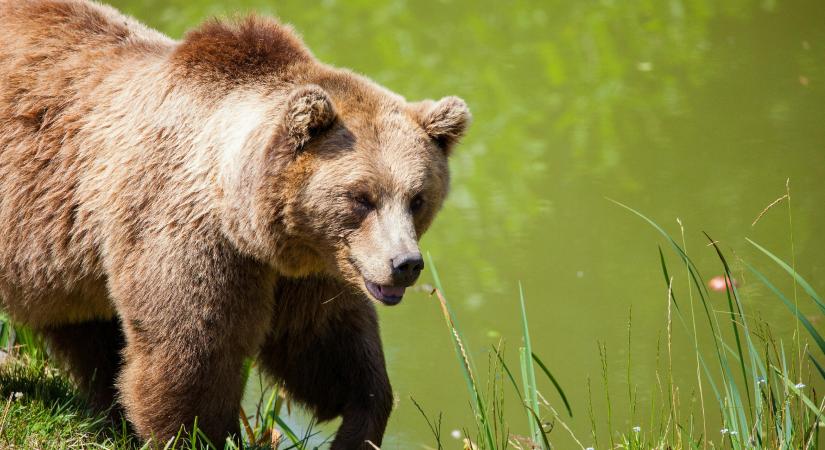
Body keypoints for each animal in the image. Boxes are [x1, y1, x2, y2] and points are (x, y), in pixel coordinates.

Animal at [0, 1, 466, 448]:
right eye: (361, 198)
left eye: (417, 198)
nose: (405, 263)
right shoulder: (190, 235)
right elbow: (193, 355)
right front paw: (200, 434)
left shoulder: (310, 269)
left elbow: (326, 345)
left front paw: (359, 424)